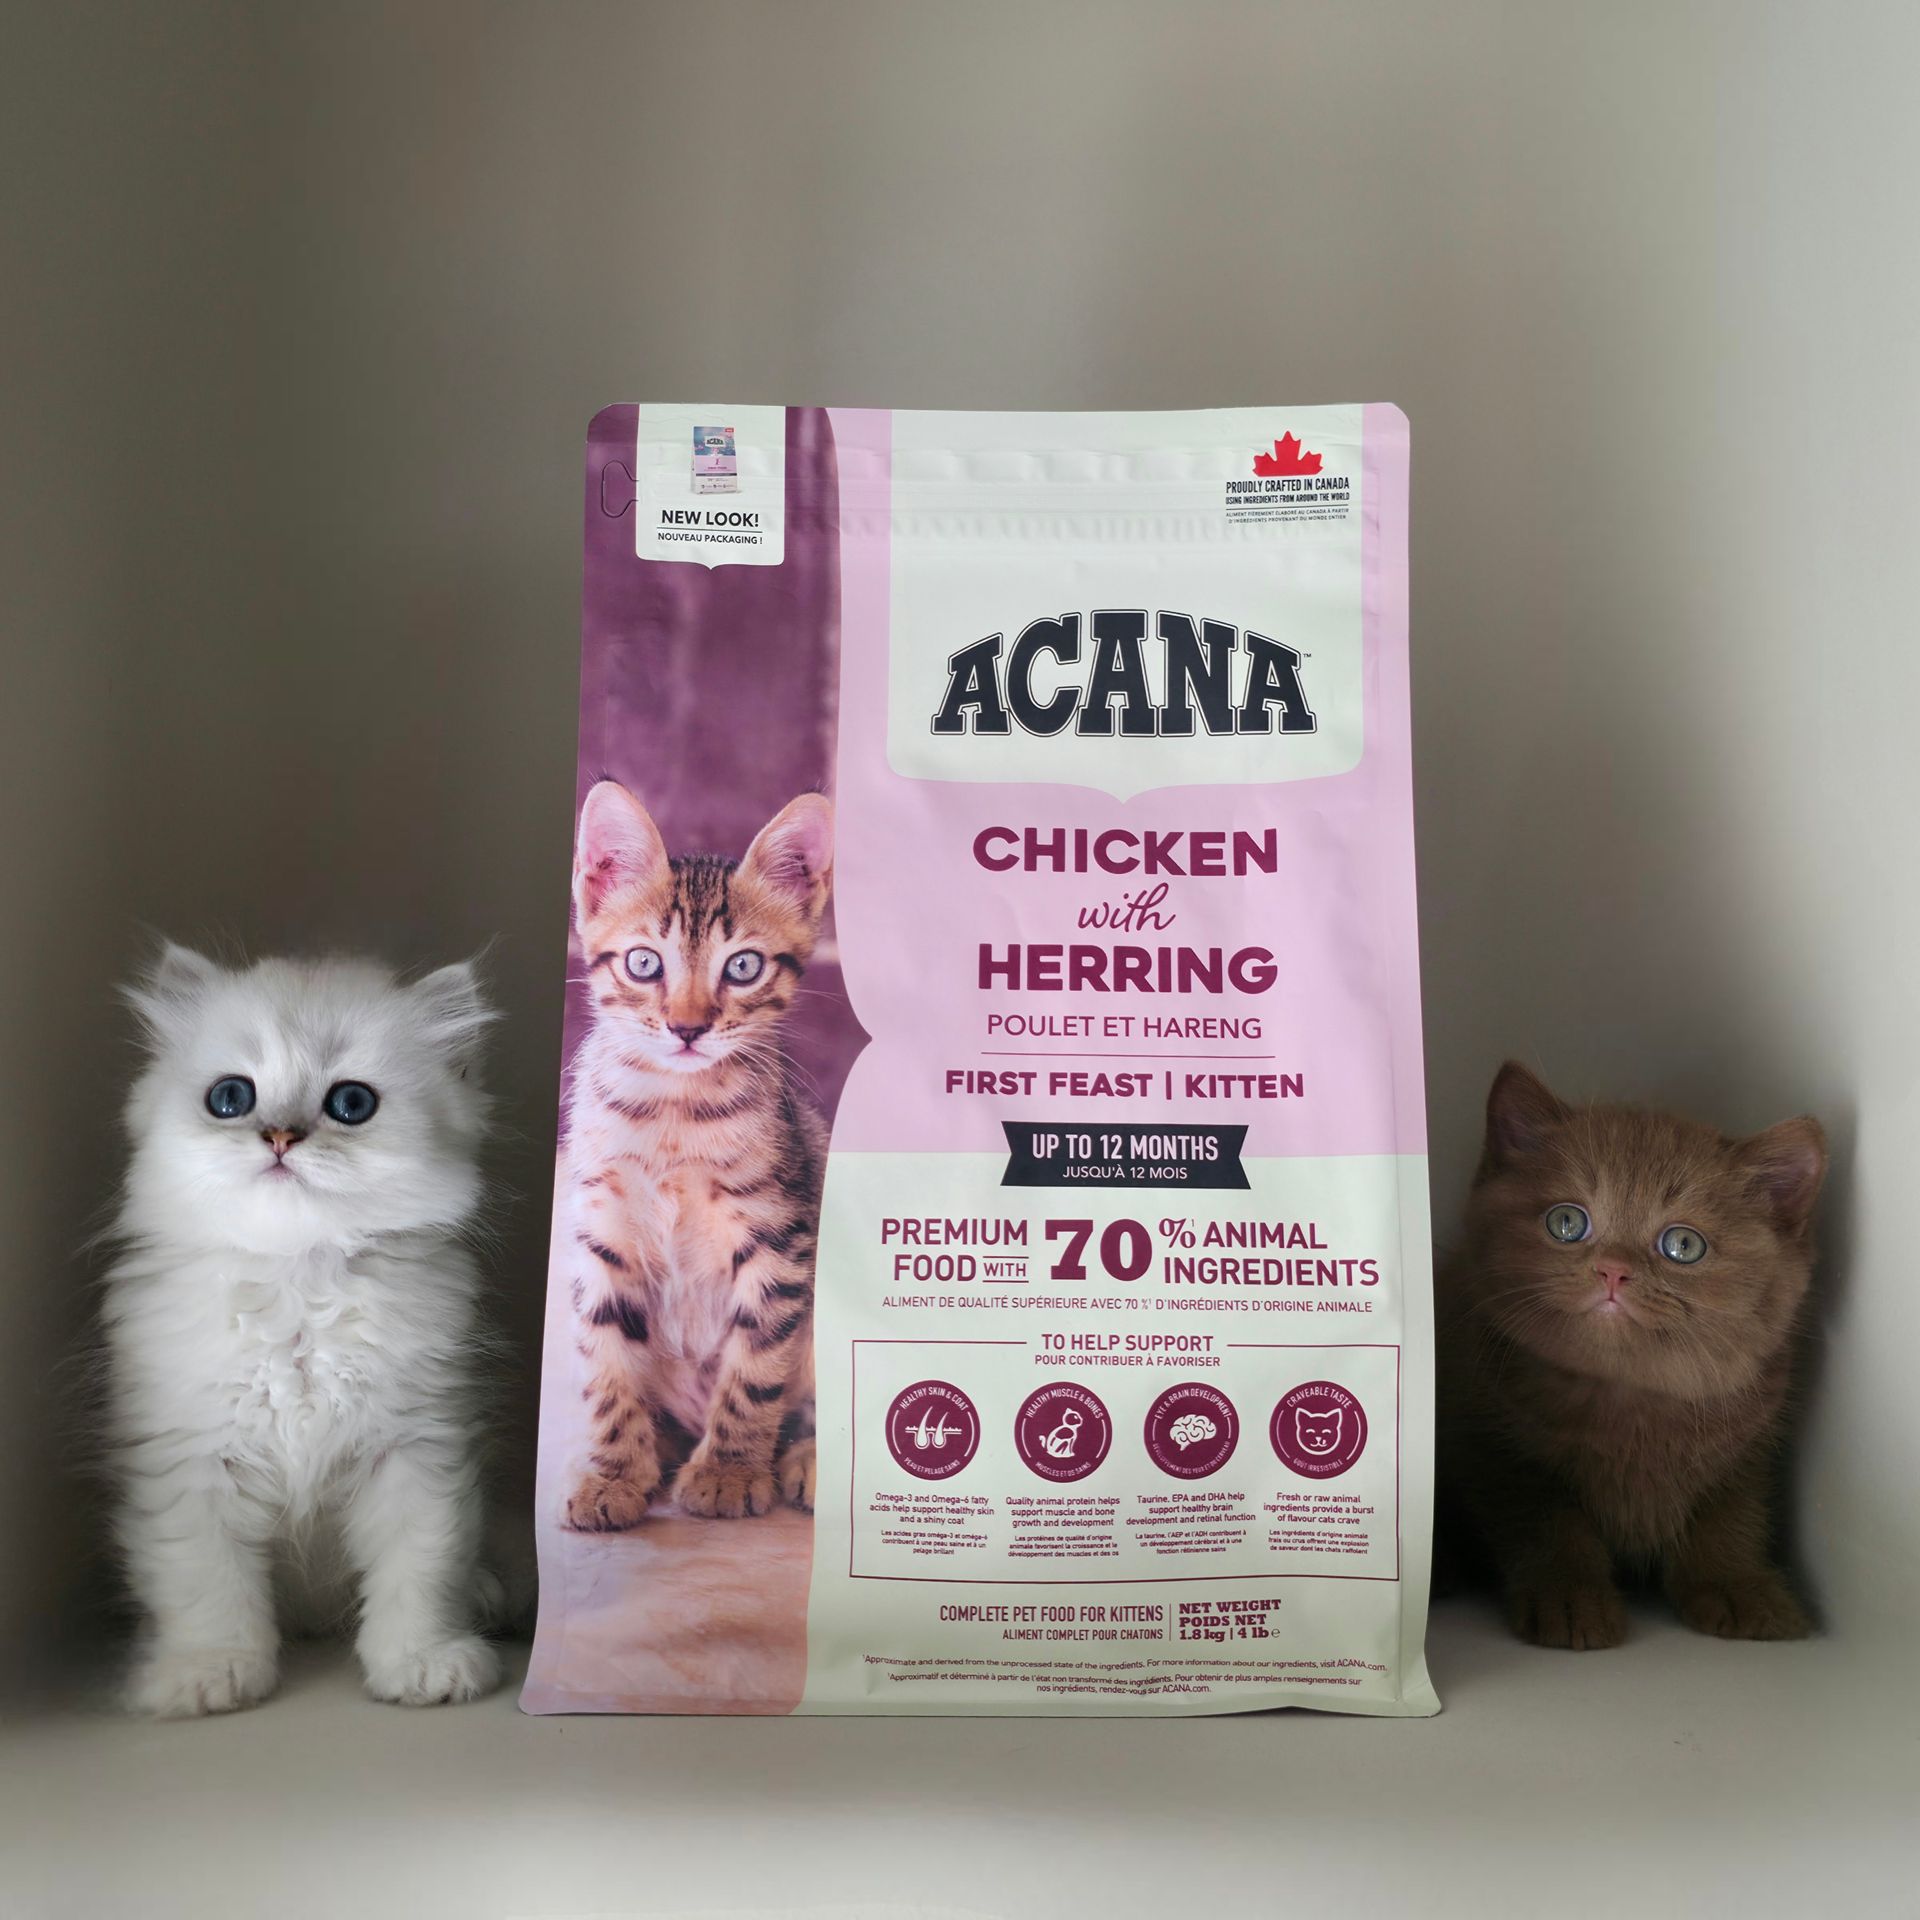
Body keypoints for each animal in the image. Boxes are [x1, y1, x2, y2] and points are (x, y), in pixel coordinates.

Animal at [106, 944, 505, 1715]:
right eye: (231, 1097)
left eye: (351, 1105)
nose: (281, 1136)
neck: (299, 1282)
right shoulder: (189, 1465)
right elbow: (207, 1585)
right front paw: (209, 1674)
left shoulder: (415, 1450)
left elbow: (420, 1571)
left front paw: (422, 1664)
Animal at [559, 779, 832, 1531]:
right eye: (644, 962)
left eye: (742, 966)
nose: (686, 1028)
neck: (674, 1114)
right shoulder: (601, 1234)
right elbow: (606, 1366)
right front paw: (614, 1475)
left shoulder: (780, 1236)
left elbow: (755, 1366)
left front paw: (729, 1472)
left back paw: (808, 1461)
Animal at [1437, 1061, 1826, 1650]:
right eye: (1567, 1222)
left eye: (1683, 1245)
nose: (1613, 1270)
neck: (1628, 1402)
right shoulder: (1495, 1444)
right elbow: (1548, 1524)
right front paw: (1569, 1597)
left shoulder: (1750, 1448)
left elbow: (1731, 1519)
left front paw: (1738, 1587)